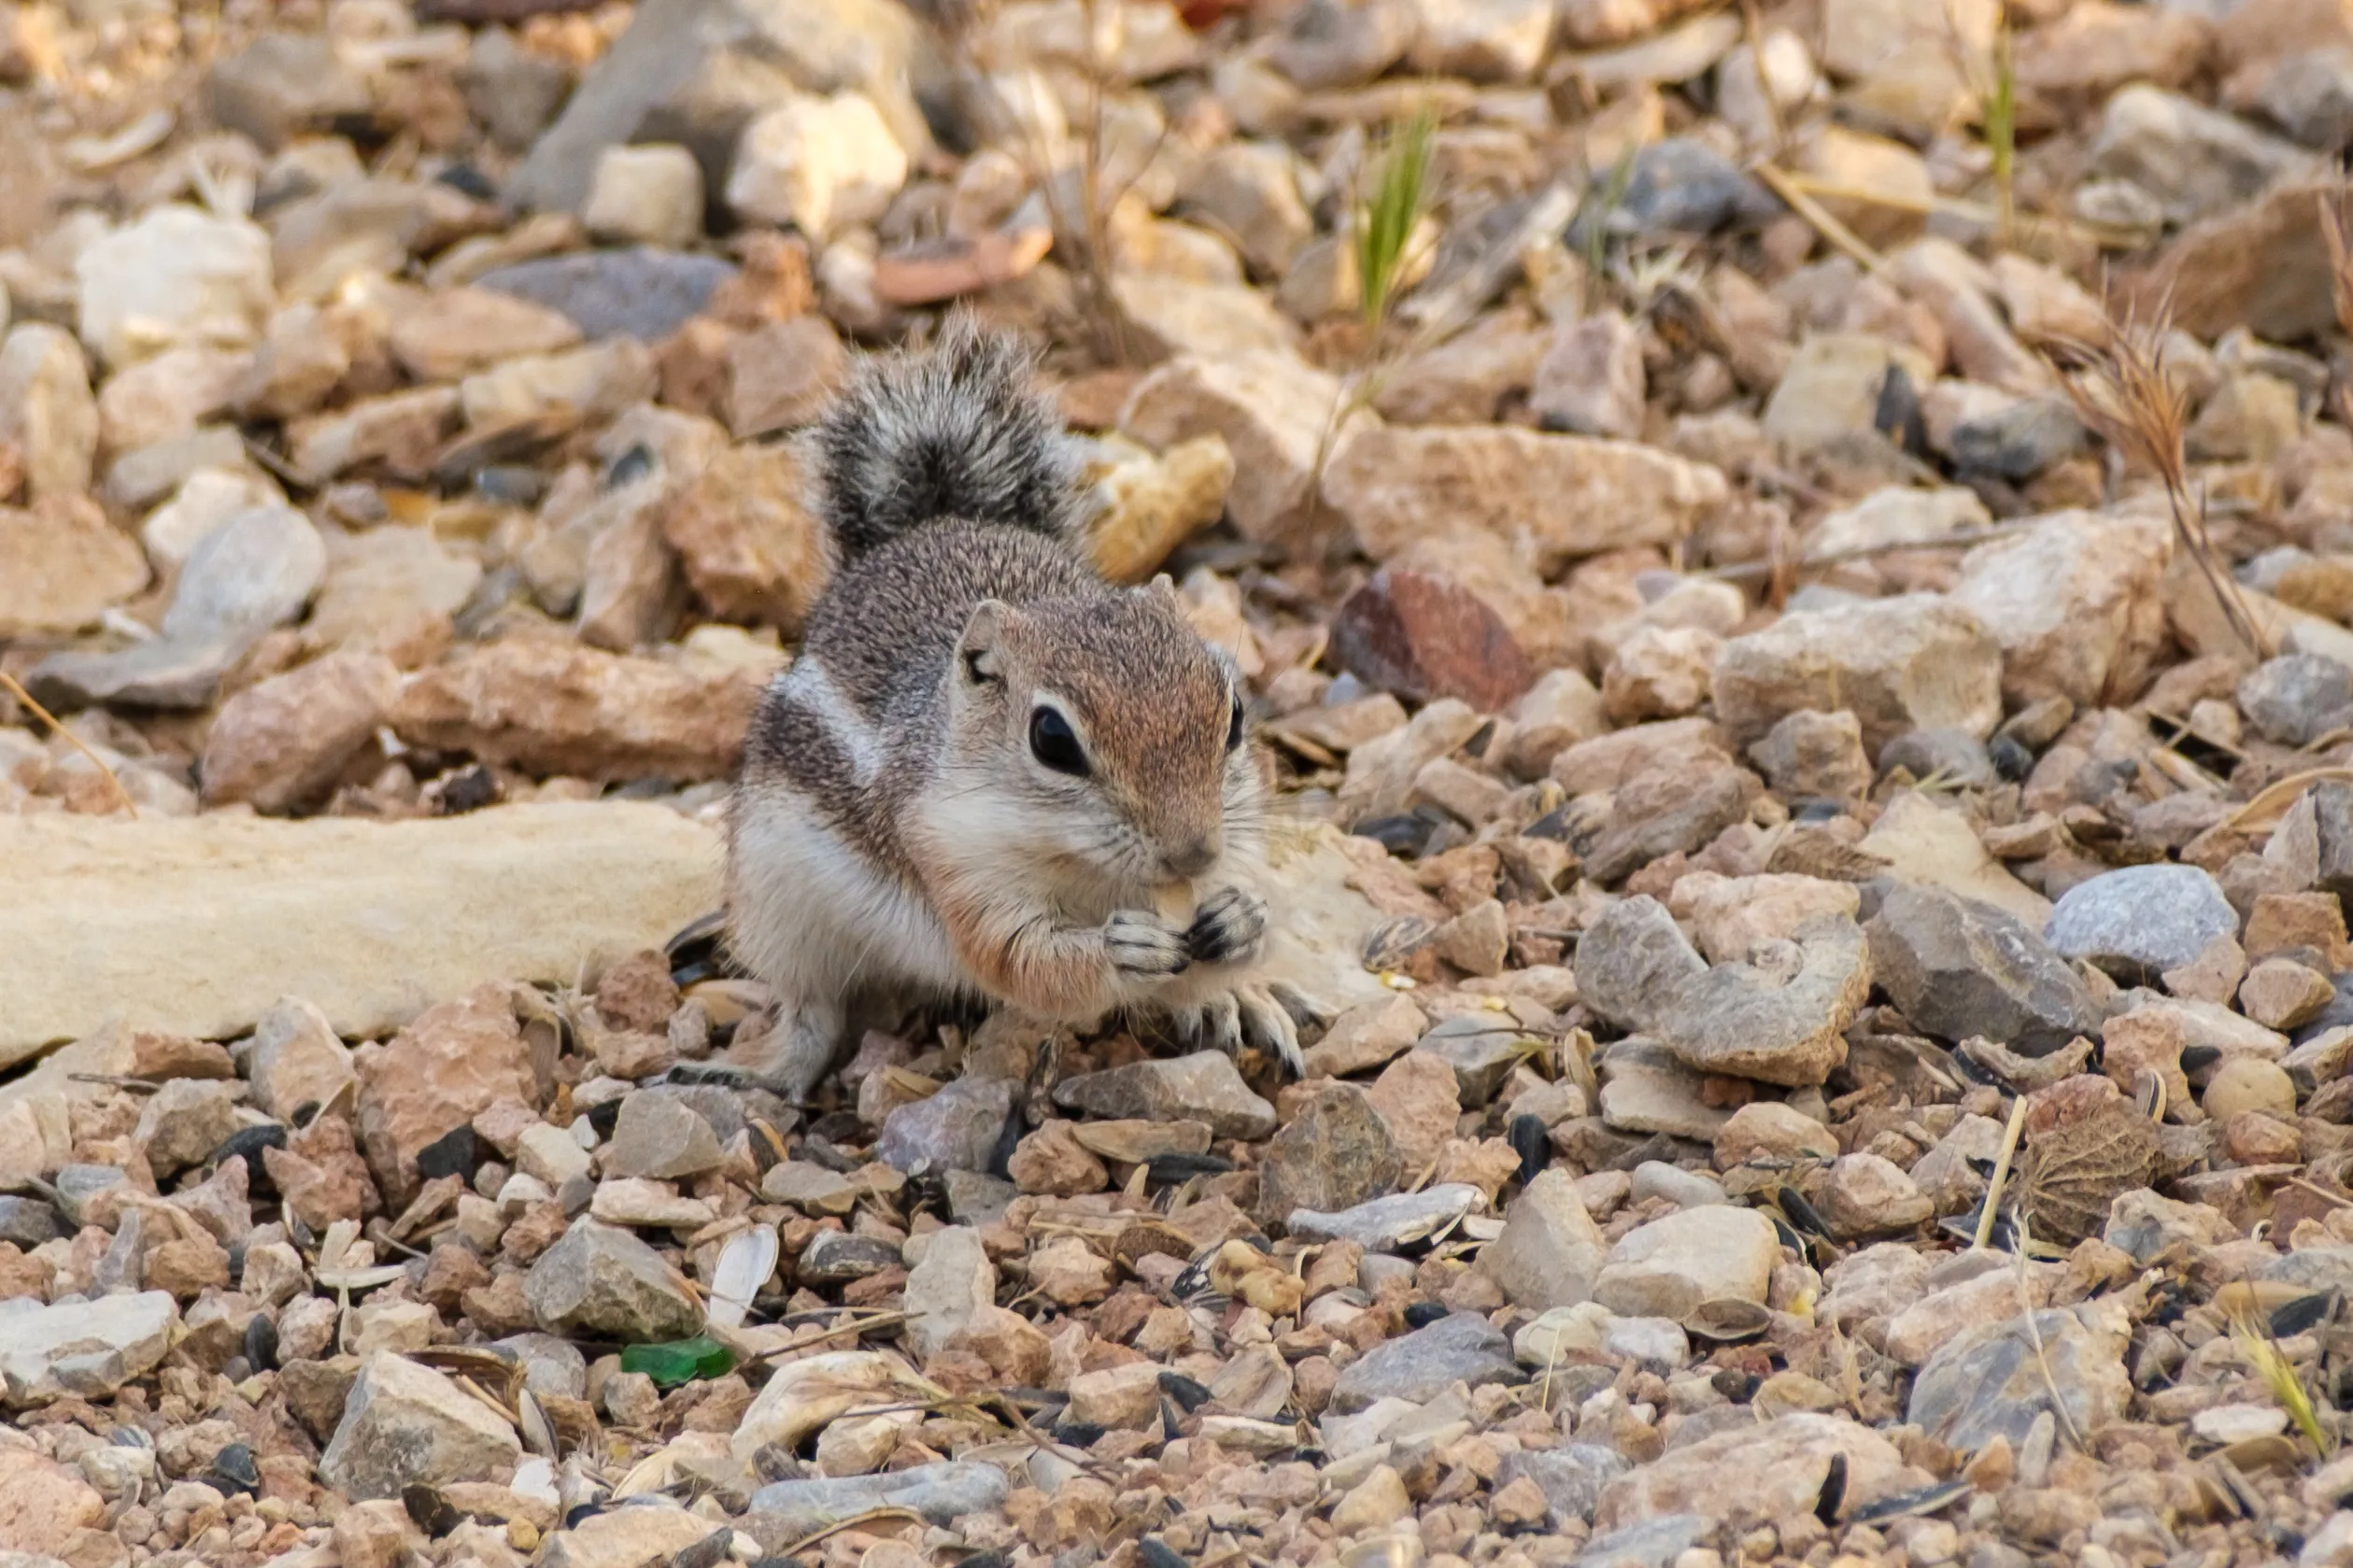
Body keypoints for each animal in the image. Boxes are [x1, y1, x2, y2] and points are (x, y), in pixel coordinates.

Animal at [717, 314, 1302, 1102]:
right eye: (1051, 738)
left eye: (1233, 715)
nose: (1192, 852)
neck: (1082, 865)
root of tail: (933, 522)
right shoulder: (957, 862)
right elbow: (1023, 961)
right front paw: (1121, 952)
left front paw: (1240, 925)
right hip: (781, 909)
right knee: (812, 1010)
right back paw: (762, 1069)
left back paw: (1230, 998)